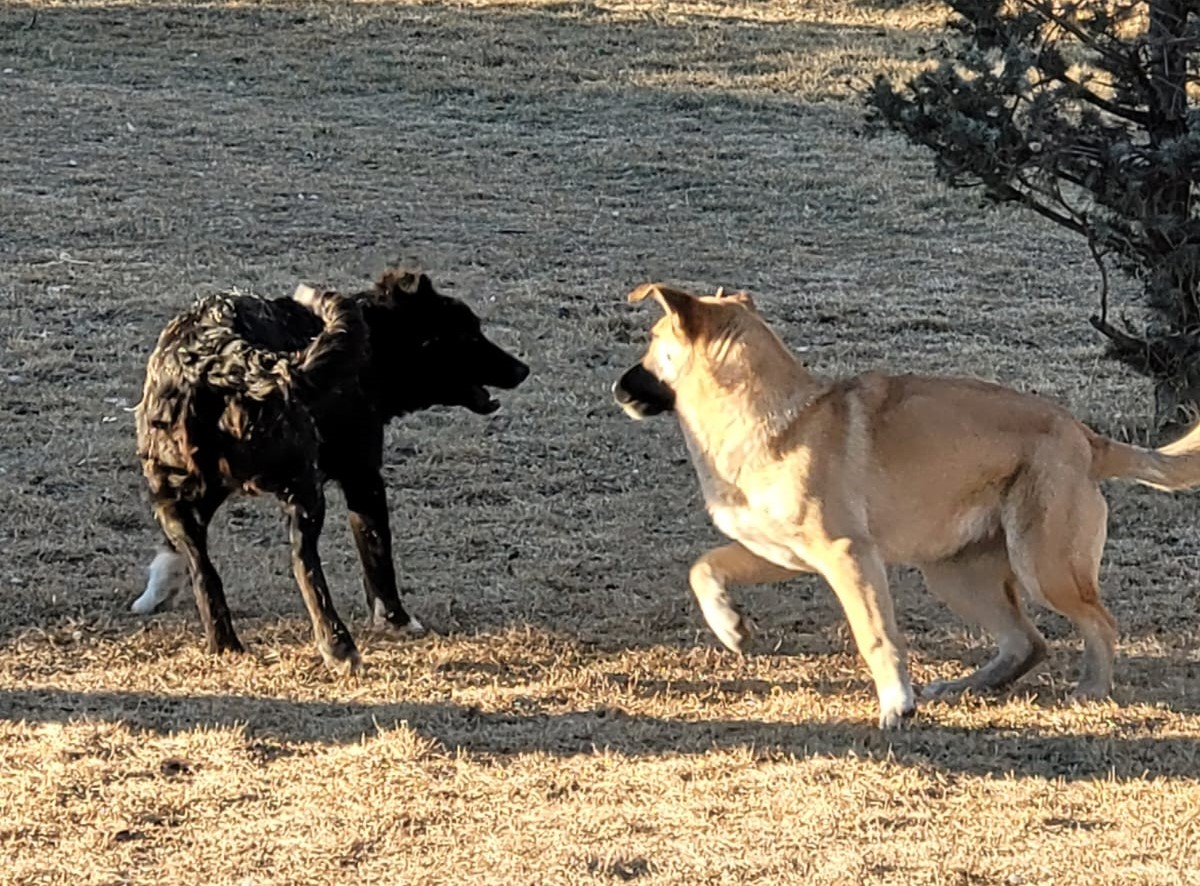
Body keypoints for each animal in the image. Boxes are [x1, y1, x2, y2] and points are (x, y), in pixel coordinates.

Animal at [131, 268, 530, 667]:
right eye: (469, 332)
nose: (523, 369)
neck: (377, 343)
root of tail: (222, 357)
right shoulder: (363, 477)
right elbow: (377, 557)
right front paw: (397, 619)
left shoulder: (197, 494)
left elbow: (180, 555)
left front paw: (159, 588)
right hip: (303, 488)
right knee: (304, 564)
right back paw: (338, 645)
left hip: (178, 492)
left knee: (206, 574)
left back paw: (224, 644)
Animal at [614, 280, 1200, 725]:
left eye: (654, 338)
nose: (618, 389)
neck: (780, 418)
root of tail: (1086, 437)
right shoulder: (780, 552)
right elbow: (704, 568)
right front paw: (731, 627)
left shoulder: (849, 555)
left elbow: (875, 636)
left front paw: (897, 704)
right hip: (955, 575)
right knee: (1026, 642)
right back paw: (966, 687)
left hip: (1043, 567)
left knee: (1099, 623)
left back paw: (1091, 691)